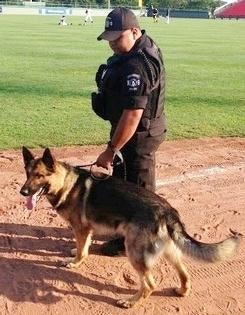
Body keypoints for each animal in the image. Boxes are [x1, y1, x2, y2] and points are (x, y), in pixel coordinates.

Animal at [20, 148, 240, 308]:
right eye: (27, 173)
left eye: (39, 175)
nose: (22, 192)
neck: (66, 183)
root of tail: (167, 210)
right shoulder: (86, 230)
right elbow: (83, 247)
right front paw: (76, 253)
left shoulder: (81, 228)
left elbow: (82, 251)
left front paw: (74, 263)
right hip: (169, 250)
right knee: (184, 271)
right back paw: (182, 291)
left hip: (134, 252)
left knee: (150, 284)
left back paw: (130, 302)